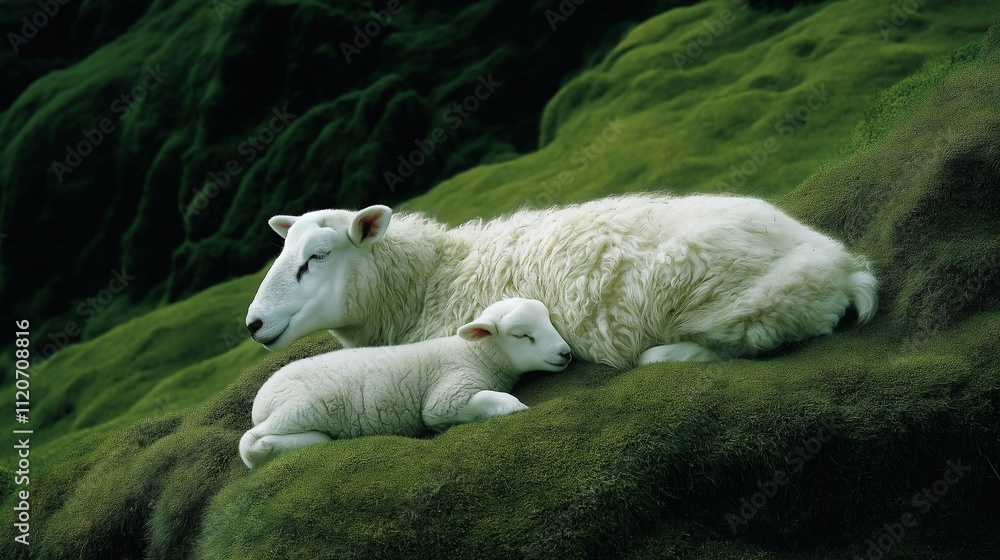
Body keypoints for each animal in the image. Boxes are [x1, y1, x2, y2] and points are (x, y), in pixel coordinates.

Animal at [239, 297, 571, 468]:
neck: (477, 354)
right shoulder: (446, 396)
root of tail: (260, 401)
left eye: (549, 321)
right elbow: (491, 402)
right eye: (521, 335)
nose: (565, 353)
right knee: (249, 442)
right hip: (299, 407)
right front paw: (515, 407)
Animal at [245, 193, 877, 369]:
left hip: (738, 302)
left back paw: (663, 356)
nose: (252, 324)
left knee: (750, 339)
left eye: (316, 256)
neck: (431, 279)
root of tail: (840, 264)